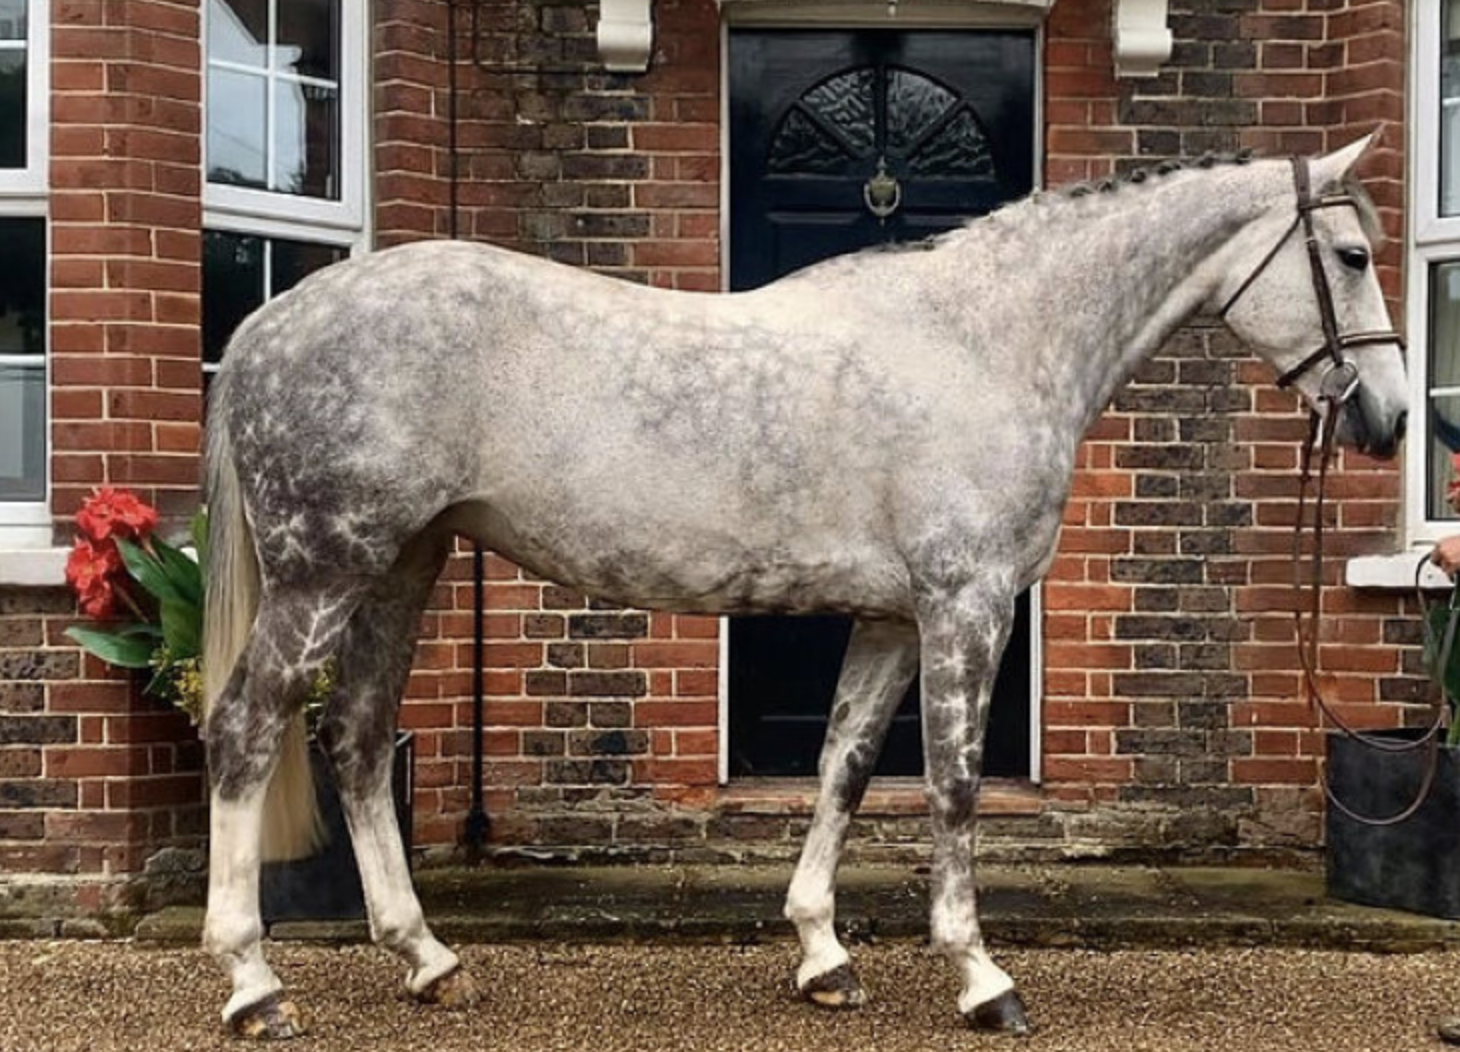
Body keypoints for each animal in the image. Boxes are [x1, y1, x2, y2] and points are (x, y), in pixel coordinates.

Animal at [200, 135, 1407, 1039]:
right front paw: (981, 977)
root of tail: (267, 325)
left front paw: (824, 955)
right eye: (1350, 253)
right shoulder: (965, 604)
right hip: (324, 570)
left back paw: (427, 958)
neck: (986, 340)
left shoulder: (889, 617)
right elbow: (951, 786)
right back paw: (254, 983)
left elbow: (845, 768)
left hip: (404, 564)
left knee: (356, 738)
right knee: (248, 731)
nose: (1388, 418)